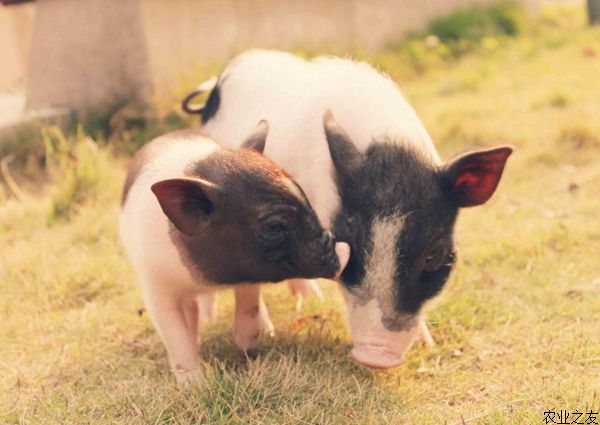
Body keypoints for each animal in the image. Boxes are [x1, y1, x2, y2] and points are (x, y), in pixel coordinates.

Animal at [119, 123, 350, 380]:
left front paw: (247, 353)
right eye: (274, 227)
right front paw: (193, 382)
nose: (342, 248)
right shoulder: (156, 286)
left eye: (307, 202)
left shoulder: (250, 273)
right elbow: (175, 333)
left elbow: (249, 308)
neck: (208, 279)